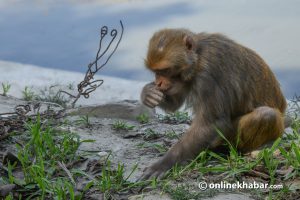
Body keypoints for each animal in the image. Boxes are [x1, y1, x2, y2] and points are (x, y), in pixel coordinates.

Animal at [139, 28, 288, 180]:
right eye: (155, 71)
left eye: (164, 70)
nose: (158, 82)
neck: (198, 58)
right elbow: (175, 103)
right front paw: (148, 94)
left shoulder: (209, 74)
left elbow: (210, 124)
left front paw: (164, 164)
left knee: (266, 115)